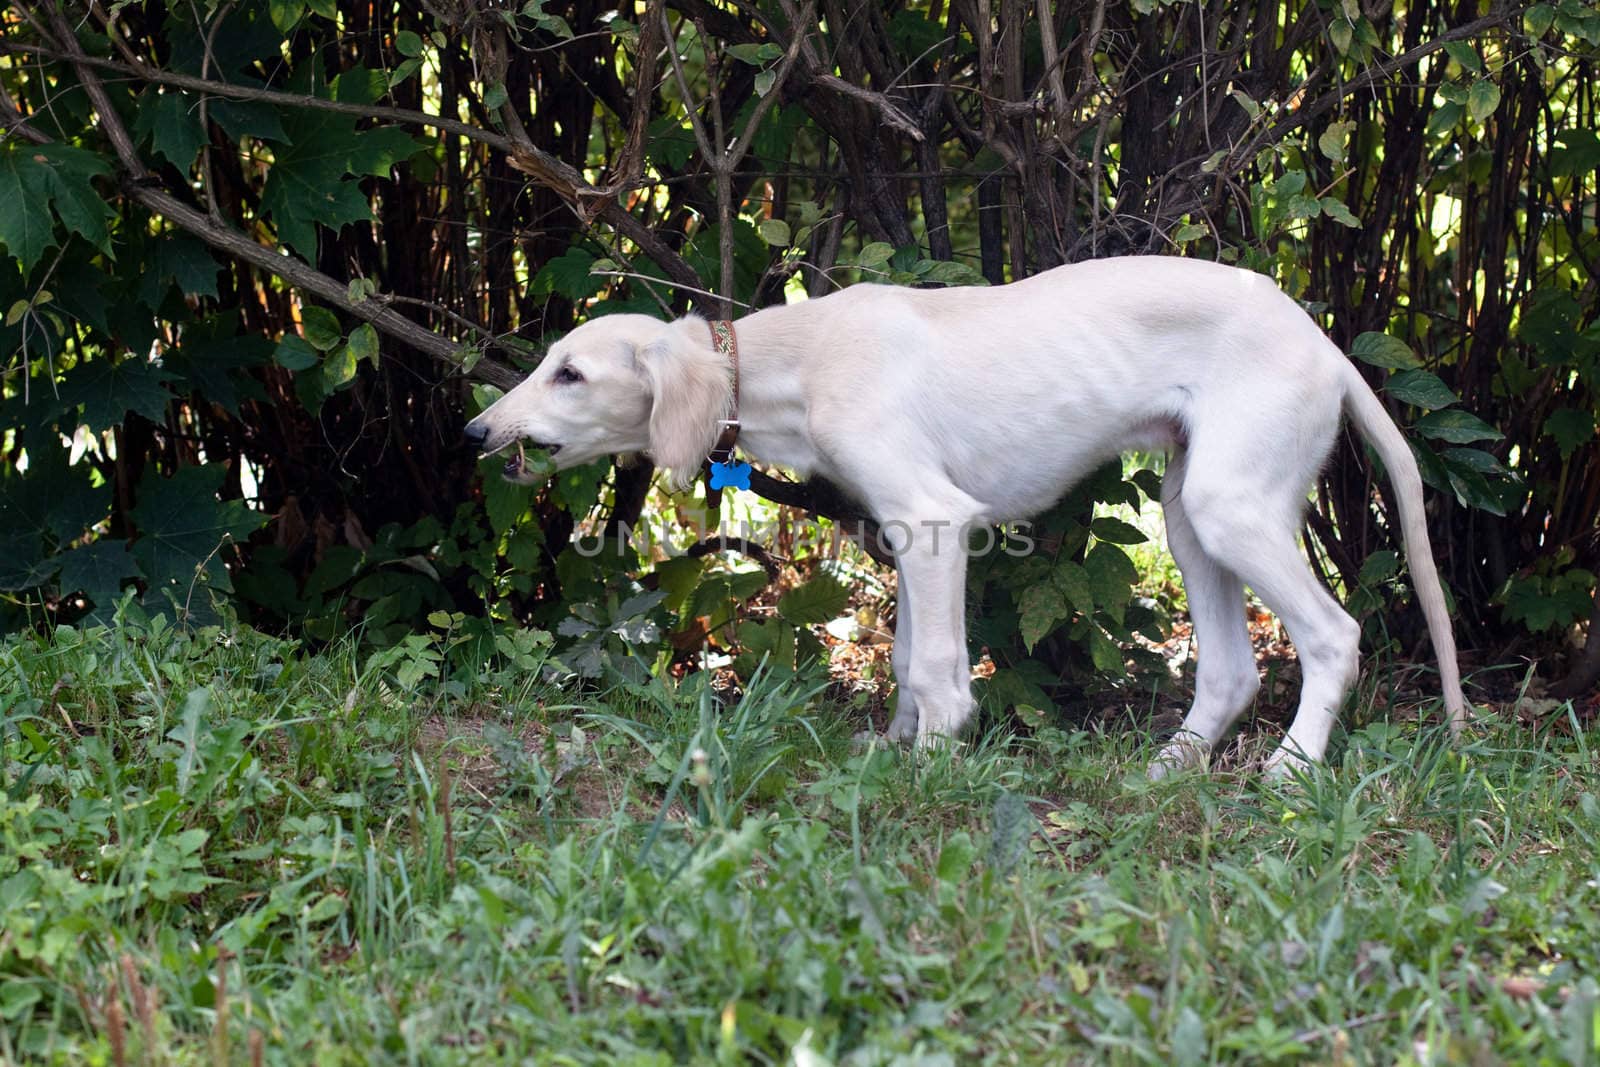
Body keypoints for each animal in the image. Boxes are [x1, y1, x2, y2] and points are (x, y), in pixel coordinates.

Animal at [464, 259, 1465, 777]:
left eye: (570, 373)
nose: (476, 431)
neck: (803, 356)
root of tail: (1326, 344)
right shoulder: (908, 532)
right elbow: (909, 656)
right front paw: (894, 744)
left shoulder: (935, 519)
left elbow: (937, 669)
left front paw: (932, 764)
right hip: (1193, 512)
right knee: (1230, 668)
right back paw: (1172, 767)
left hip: (1233, 508)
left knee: (1335, 634)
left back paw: (1292, 769)